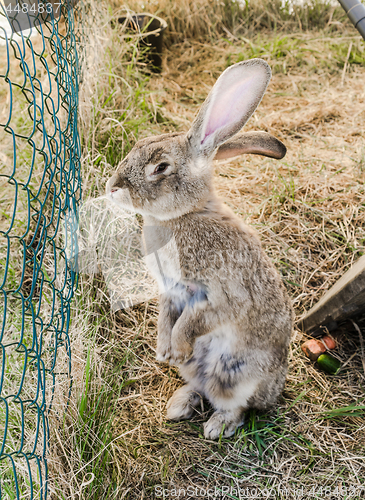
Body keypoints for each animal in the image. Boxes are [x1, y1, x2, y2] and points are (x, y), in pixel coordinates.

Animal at [106, 58, 292, 440]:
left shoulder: (220, 296)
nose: (112, 186)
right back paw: (178, 404)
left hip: (237, 374)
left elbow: (192, 322)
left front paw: (175, 348)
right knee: (199, 386)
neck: (184, 215)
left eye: (160, 167)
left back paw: (216, 426)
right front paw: (164, 351)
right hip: (201, 370)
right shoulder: (169, 291)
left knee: (236, 406)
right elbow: (166, 317)